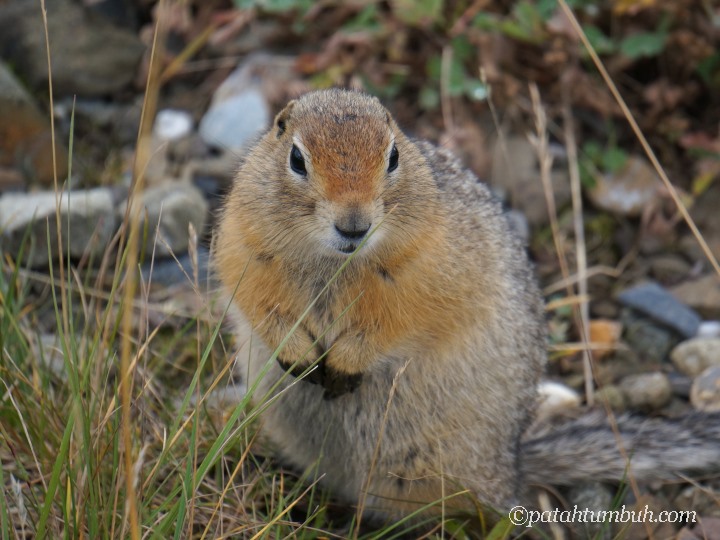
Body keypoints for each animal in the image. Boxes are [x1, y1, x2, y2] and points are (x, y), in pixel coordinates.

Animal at [214, 88, 720, 524]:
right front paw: (299, 355)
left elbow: (390, 325)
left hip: (420, 468)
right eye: (297, 159)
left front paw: (342, 365)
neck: (335, 263)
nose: (354, 225)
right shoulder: (245, 248)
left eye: (393, 157)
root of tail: (510, 469)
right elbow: (262, 305)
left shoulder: (427, 276)